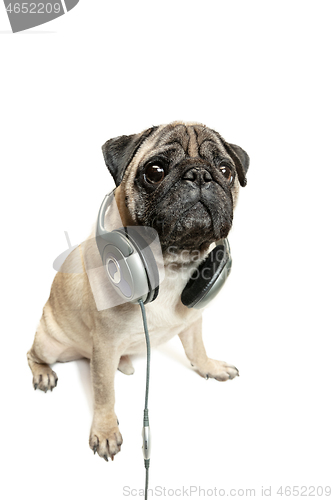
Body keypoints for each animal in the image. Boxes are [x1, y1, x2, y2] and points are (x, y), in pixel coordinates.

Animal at [27, 120, 248, 460]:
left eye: (225, 170)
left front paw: (210, 367)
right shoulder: (105, 345)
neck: (171, 264)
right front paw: (105, 431)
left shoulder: (192, 321)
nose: (200, 174)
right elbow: (104, 393)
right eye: (155, 171)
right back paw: (43, 372)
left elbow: (197, 349)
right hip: (50, 344)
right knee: (33, 354)